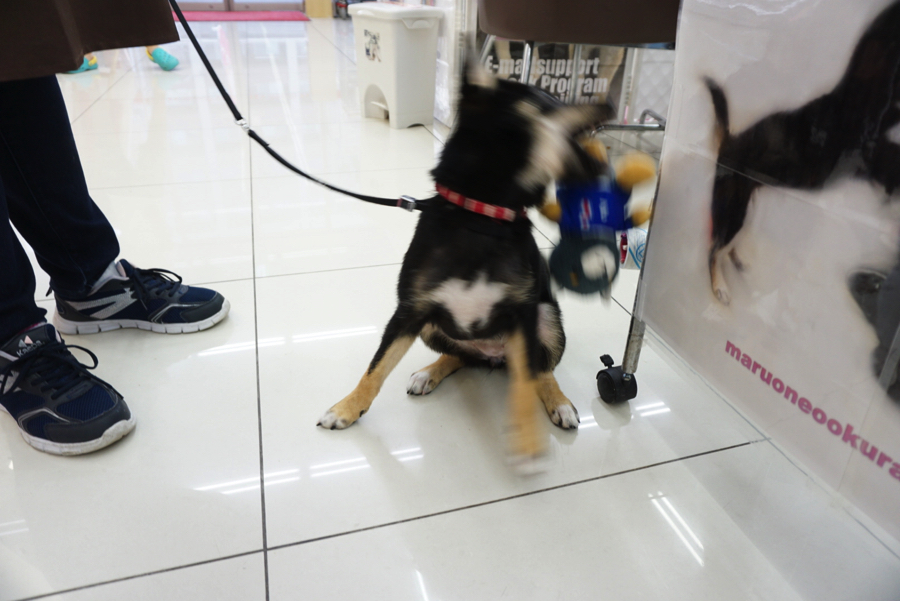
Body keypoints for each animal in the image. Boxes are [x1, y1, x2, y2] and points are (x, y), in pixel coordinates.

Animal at [316, 61, 612, 464]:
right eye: (548, 102)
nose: (609, 105)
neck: (482, 217)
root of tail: (495, 356)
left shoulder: (522, 314)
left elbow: (525, 386)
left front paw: (528, 438)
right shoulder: (409, 311)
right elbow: (376, 367)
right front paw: (347, 408)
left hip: (548, 319)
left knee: (539, 370)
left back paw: (559, 402)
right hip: (432, 328)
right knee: (459, 356)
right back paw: (430, 372)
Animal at [708, 1, 896, 304]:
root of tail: (729, 139)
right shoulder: (868, 152)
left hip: (745, 209)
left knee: (726, 245)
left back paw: (737, 260)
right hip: (735, 210)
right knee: (714, 250)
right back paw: (720, 286)